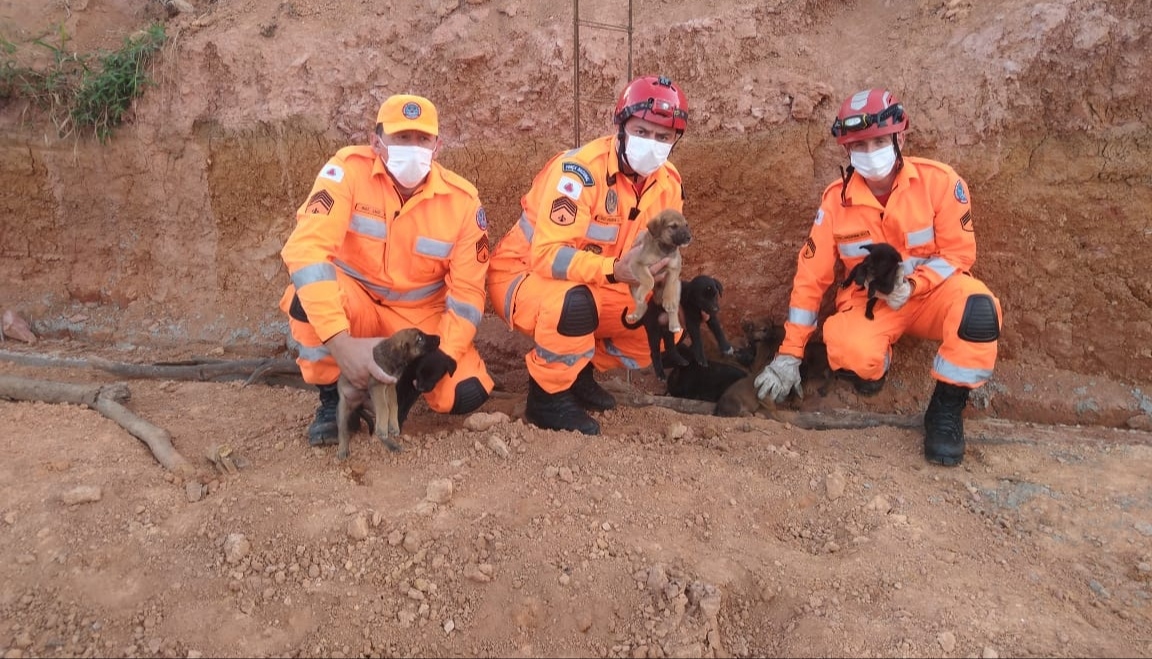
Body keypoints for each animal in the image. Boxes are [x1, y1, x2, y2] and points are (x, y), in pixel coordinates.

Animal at [336, 327, 442, 460]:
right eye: (420, 339)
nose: (439, 337)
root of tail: (358, 405)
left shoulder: (390, 385)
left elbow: (393, 405)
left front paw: (394, 425)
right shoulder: (377, 385)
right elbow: (384, 407)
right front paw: (385, 427)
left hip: (371, 405)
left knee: (378, 431)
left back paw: (392, 444)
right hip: (343, 410)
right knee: (343, 431)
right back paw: (342, 449)